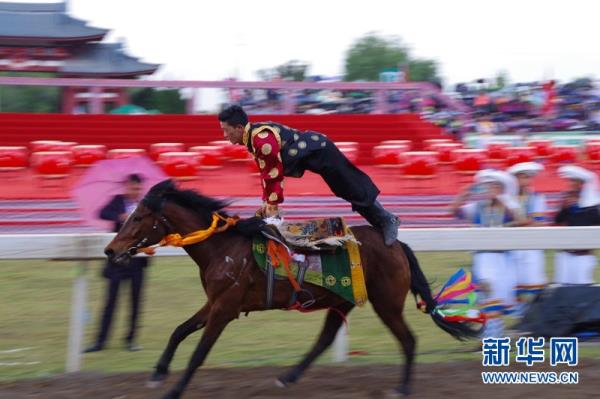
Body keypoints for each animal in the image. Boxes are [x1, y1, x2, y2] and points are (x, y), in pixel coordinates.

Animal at [103, 182, 478, 399]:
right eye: (128, 215)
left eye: (137, 218)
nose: (110, 250)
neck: (222, 247)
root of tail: (396, 243)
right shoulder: (216, 302)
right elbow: (179, 331)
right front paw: (157, 373)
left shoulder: (225, 308)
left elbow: (198, 353)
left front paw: (173, 391)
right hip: (341, 300)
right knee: (325, 338)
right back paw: (288, 377)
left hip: (385, 302)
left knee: (408, 340)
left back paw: (402, 388)